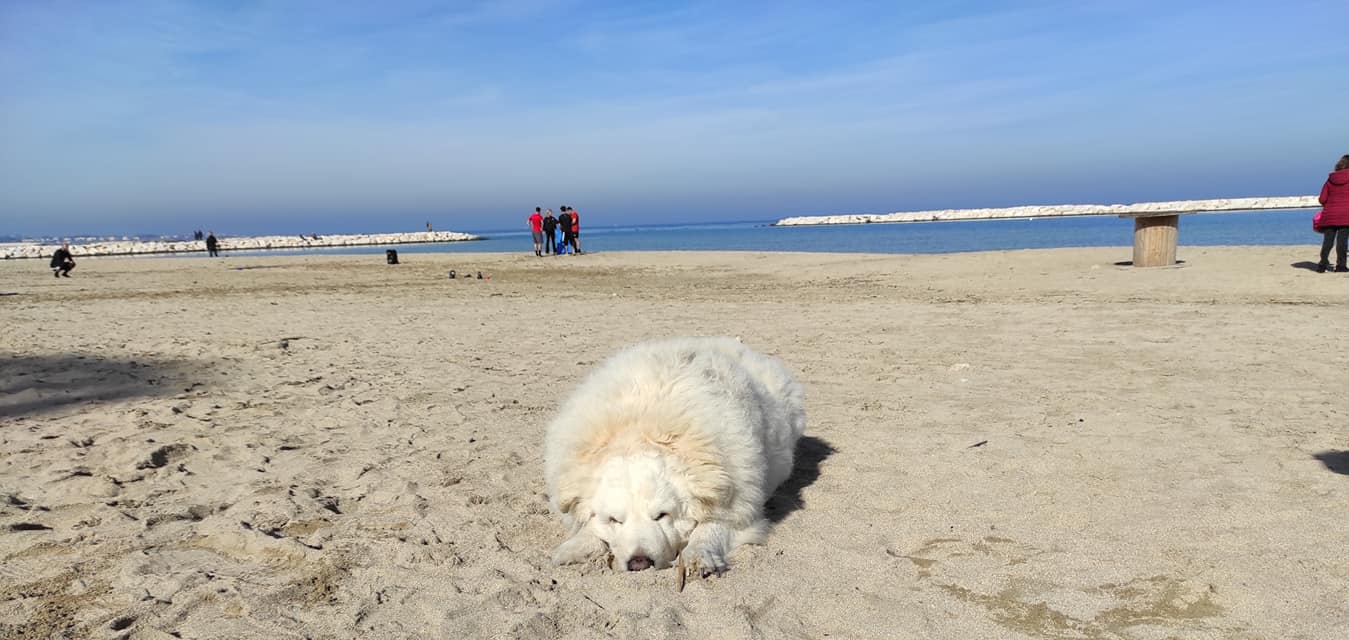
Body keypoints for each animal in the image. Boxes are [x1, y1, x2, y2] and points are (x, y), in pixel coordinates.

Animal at [544, 337, 804, 577]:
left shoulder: (738, 508)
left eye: (661, 515)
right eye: (615, 520)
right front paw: (575, 547)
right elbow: (588, 526)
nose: (640, 562)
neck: (642, 428)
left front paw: (699, 555)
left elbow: (710, 528)